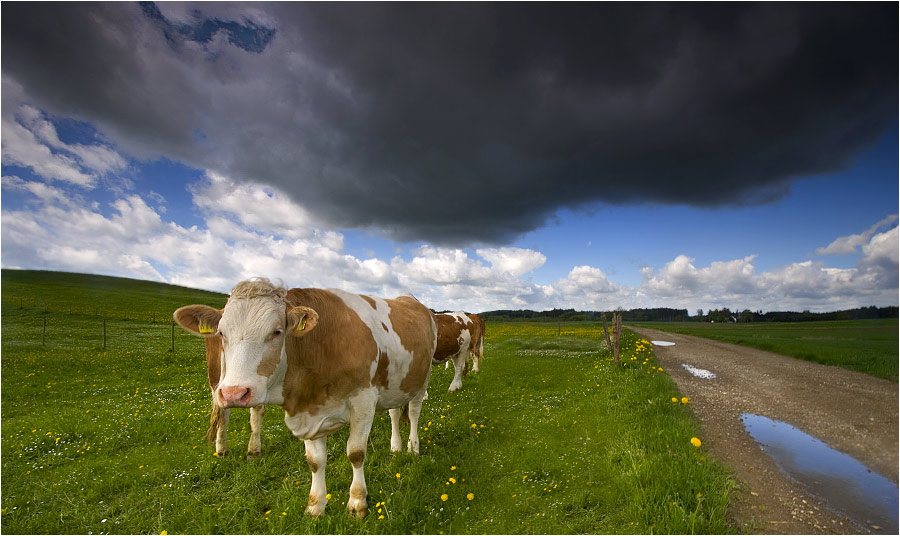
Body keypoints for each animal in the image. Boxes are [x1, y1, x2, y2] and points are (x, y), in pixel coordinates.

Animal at [175, 278, 436, 516]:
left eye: (277, 331)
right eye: (221, 333)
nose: (234, 393)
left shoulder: (363, 401)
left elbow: (355, 453)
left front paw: (357, 502)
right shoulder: (309, 409)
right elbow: (315, 460)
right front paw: (315, 506)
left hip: (421, 379)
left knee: (414, 412)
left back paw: (413, 447)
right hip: (396, 384)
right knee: (394, 412)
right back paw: (396, 447)